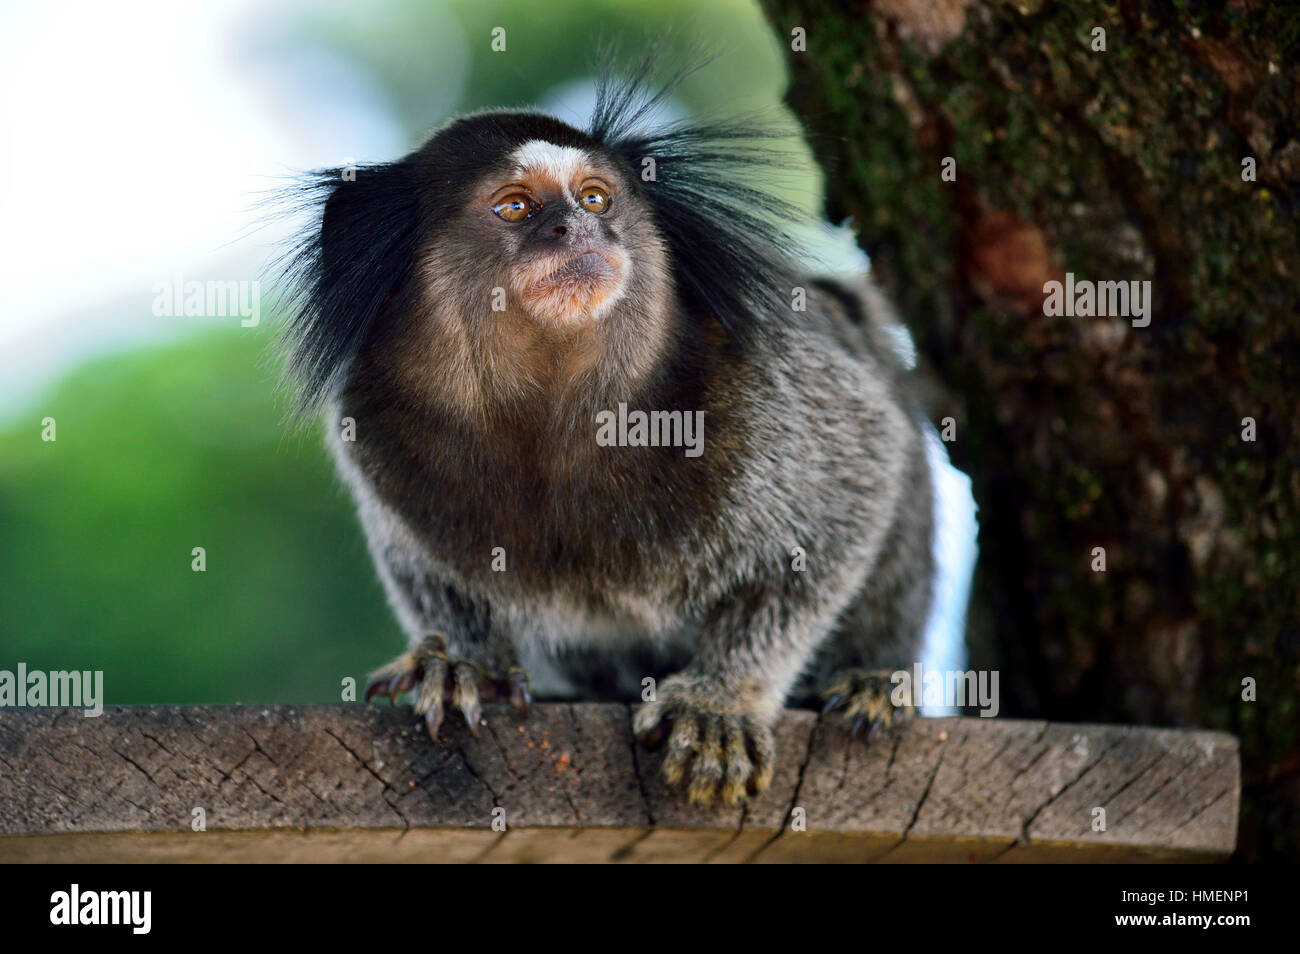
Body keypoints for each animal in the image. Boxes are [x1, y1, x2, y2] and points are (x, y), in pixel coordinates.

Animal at [274, 59, 946, 805]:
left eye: (595, 199)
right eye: (516, 207)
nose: (579, 230)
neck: (556, 413)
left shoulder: (767, 384)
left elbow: (855, 480)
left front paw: (721, 699)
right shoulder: (376, 435)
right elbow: (430, 576)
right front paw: (465, 664)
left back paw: (871, 679)